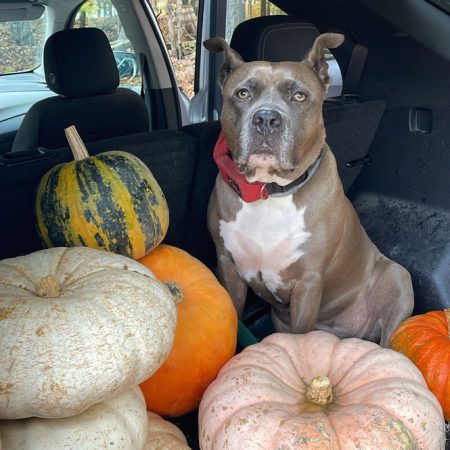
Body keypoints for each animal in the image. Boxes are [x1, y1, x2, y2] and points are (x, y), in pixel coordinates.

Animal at [204, 33, 412, 346]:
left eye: (299, 96)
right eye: (242, 94)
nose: (266, 119)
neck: (270, 191)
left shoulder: (308, 284)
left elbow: (301, 336)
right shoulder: (228, 266)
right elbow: (234, 315)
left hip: (399, 281)